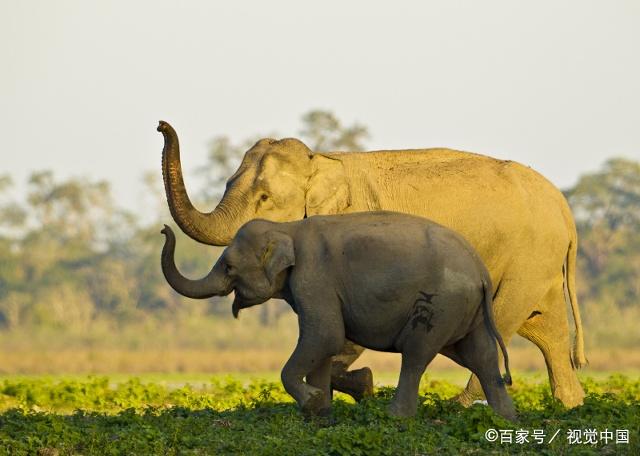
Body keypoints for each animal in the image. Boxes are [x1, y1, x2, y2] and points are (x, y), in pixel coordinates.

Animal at [162, 212, 516, 422]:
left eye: (229, 267)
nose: (164, 228)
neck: (287, 227)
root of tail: (481, 270)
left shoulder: (313, 278)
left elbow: (325, 336)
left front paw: (312, 401)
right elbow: (322, 345)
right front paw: (321, 415)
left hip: (439, 305)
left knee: (416, 354)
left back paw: (395, 418)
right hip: (468, 312)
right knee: (482, 357)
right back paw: (506, 420)